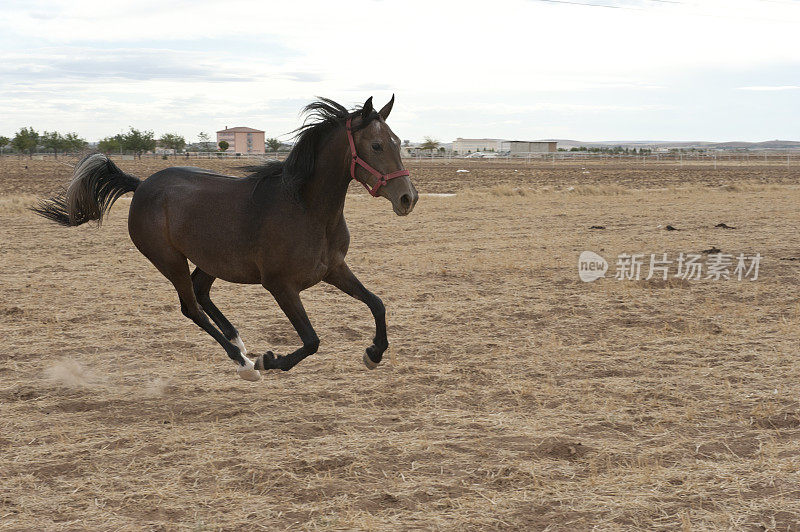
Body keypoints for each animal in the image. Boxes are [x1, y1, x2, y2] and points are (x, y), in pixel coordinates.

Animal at [32, 95, 418, 382]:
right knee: (191, 306)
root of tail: (140, 186)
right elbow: (311, 340)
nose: (407, 198)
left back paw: (239, 342)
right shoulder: (280, 285)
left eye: (399, 142)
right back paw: (244, 362)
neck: (306, 208)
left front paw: (373, 354)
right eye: (377, 145)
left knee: (201, 293)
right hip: (169, 260)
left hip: (211, 259)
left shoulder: (334, 269)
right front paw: (268, 361)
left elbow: (377, 303)